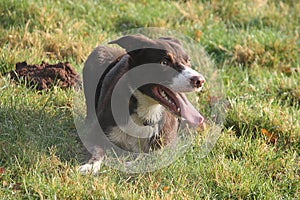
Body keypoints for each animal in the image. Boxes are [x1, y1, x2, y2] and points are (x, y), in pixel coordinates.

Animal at [78, 34, 205, 173]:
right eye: (164, 62)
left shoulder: (167, 149)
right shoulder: (96, 133)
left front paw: (130, 164)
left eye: (188, 61)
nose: (199, 80)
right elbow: (97, 149)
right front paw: (90, 166)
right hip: (98, 54)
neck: (147, 111)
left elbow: (151, 156)